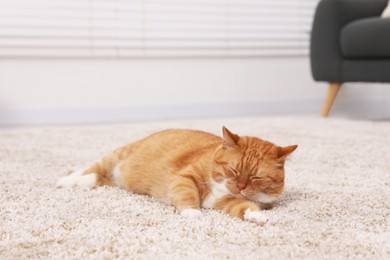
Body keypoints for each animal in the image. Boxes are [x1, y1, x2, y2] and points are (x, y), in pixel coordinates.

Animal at [56, 126, 298, 225]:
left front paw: (257, 217)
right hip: (118, 155)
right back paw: (66, 180)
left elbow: (245, 207)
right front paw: (193, 213)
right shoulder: (185, 177)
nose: (240, 186)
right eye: (234, 170)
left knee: (98, 179)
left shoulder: (227, 202)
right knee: (91, 168)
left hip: (116, 180)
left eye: (256, 178)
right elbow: (187, 195)